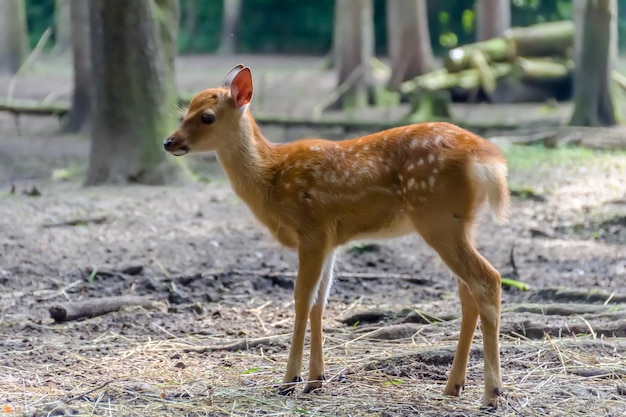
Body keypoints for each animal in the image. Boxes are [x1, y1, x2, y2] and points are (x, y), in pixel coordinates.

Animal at [163, 65, 510, 410]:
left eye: (207, 116)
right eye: (184, 112)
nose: (169, 141)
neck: (271, 176)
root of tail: (488, 159)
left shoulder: (311, 230)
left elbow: (301, 299)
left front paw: (289, 381)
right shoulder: (330, 240)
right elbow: (320, 301)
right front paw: (316, 380)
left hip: (436, 217)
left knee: (487, 279)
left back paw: (491, 394)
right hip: (460, 224)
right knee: (467, 292)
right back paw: (453, 386)